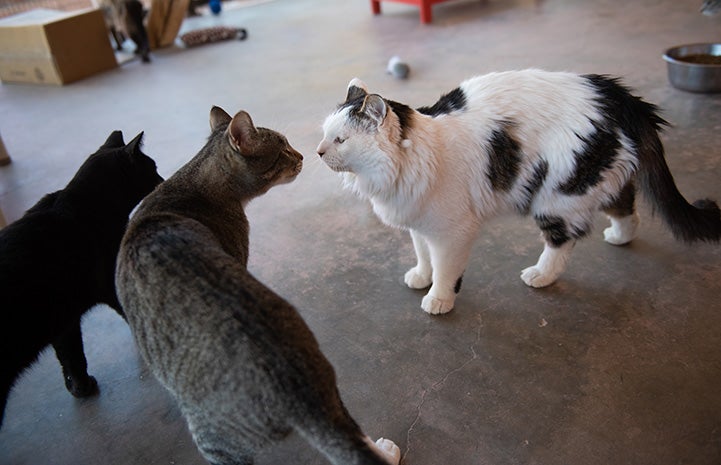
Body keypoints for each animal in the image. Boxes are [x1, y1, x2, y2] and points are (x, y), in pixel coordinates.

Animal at [0, 131, 162, 428]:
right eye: (151, 167)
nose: (162, 179)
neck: (80, 200)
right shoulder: (110, 285)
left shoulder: (63, 319)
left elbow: (71, 354)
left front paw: (79, 387)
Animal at [115, 106, 402, 464]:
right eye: (282, 150)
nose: (302, 155)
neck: (190, 186)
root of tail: (288, 378)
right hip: (329, 389)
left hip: (215, 437)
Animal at [318, 69, 720, 314]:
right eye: (324, 133)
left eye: (340, 140)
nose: (318, 152)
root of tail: (613, 93)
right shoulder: (419, 223)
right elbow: (423, 255)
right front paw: (421, 276)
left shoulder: (452, 232)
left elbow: (446, 268)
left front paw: (439, 298)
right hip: (594, 179)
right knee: (626, 206)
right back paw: (620, 237)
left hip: (557, 196)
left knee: (564, 241)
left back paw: (541, 275)